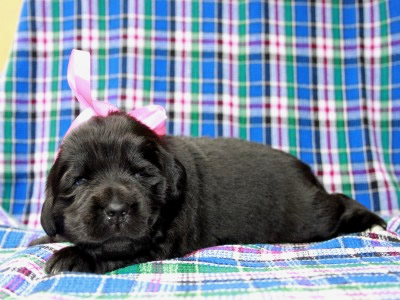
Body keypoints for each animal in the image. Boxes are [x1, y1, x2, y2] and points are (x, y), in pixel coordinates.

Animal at [29, 112, 386, 274]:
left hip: (307, 217)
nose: (116, 209)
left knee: (337, 204)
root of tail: (305, 171)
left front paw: (73, 256)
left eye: (141, 174)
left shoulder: (159, 239)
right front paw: (45, 238)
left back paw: (373, 220)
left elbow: (116, 249)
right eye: (79, 181)